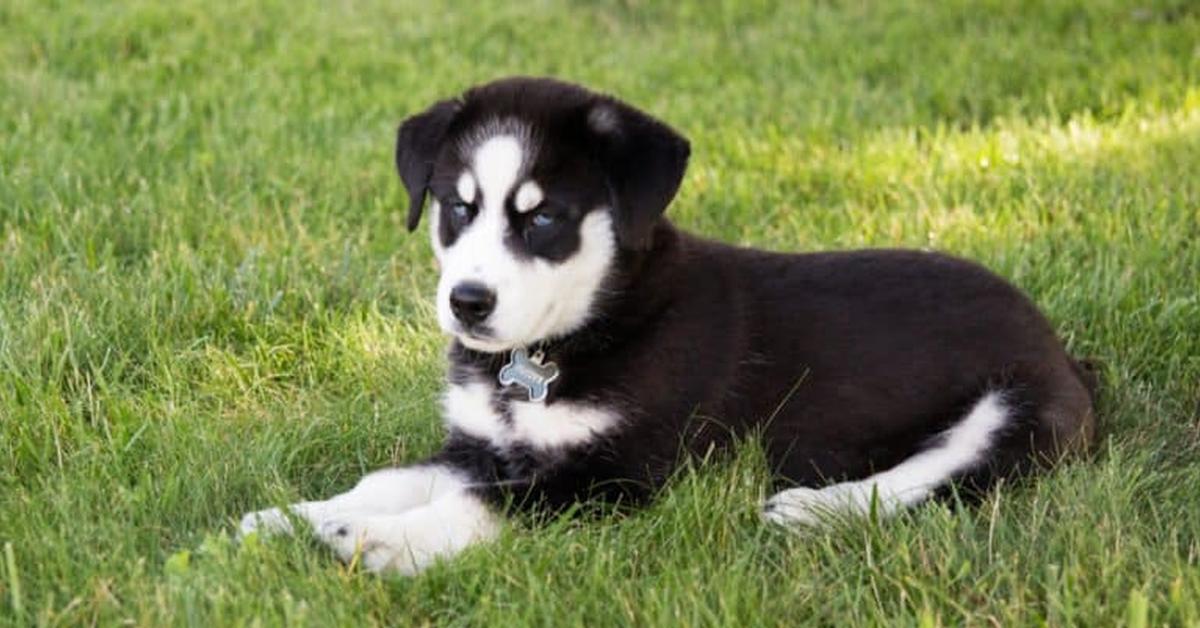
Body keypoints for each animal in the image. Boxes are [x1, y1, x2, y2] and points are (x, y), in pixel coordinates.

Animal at [241, 77, 1099, 573]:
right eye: (457, 207)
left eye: (543, 217)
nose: (468, 303)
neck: (574, 336)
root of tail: (1060, 348)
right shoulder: (481, 446)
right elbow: (388, 479)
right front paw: (297, 516)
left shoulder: (623, 470)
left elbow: (489, 504)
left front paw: (385, 541)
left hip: (1015, 407)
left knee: (937, 474)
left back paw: (812, 508)